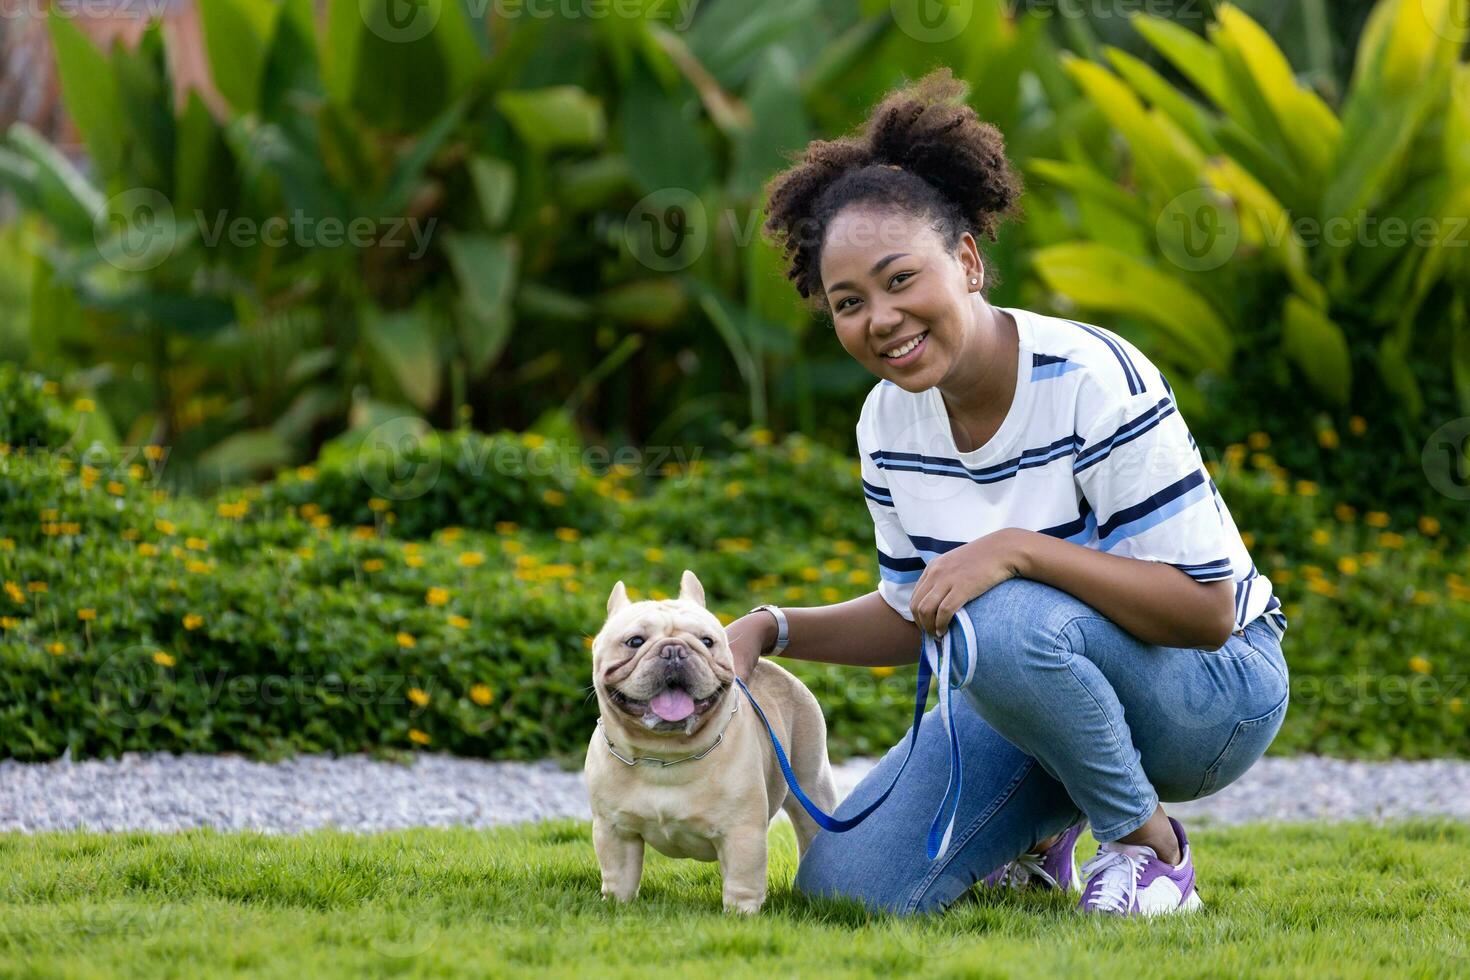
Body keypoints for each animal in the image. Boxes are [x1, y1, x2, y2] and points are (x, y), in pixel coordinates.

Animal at [585, 570, 840, 916]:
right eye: (635, 641)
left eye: (707, 641)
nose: (674, 650)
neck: (663, 754)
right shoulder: (614, 831)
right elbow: (619, 875)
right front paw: (616, 905)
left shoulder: (742, 834)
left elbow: (742, 881)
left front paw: (741, 916)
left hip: (810, 785)